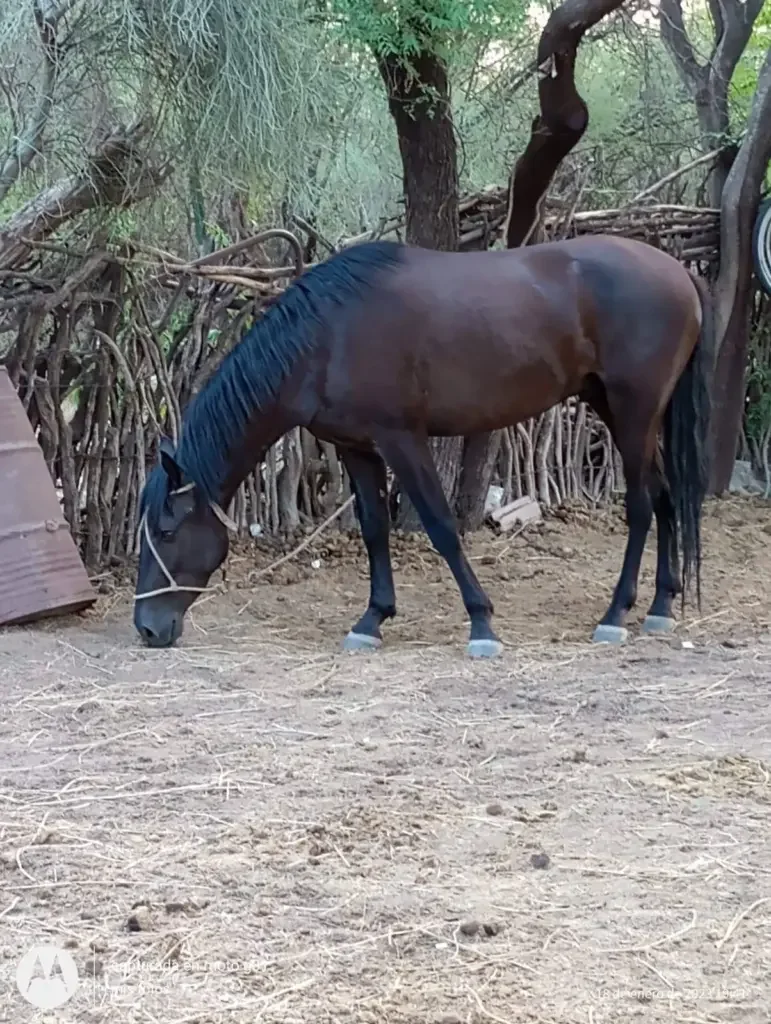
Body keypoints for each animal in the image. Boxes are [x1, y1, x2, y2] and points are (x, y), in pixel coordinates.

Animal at [133, 234, 712, 656]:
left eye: (165, 531)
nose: (147, 628)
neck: (326, 335)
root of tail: (678, 271)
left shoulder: (402, 440)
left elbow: (441, 527)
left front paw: (481, 623)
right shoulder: (357, 447)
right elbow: (374, 531)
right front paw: (371, 620)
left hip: (634, 411)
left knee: (640, 506)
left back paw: (616, 614)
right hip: (620, 411)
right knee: (664, 496)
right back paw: (661, 606)